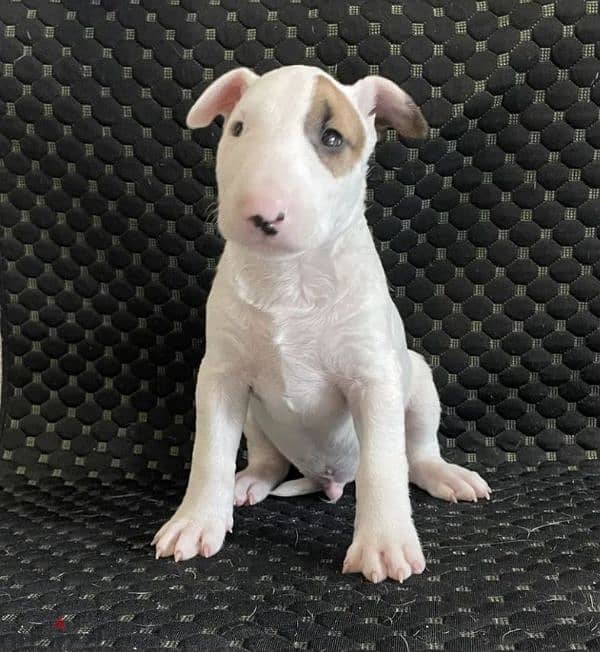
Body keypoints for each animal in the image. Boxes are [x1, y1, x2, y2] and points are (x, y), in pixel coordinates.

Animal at [152, 66, 490, 584]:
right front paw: (194, 522)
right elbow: (208, 453)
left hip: (417, 383)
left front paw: (383, 543)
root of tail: (326, 479)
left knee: (416, 453)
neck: (291, 277)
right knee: (268, 458)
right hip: (254, 416)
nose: (261, 212)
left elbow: (382, 464)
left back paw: (444, 474)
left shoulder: (374, 380)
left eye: (332, 138)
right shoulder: (221, 378)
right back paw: (248, 481)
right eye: (238, 129)